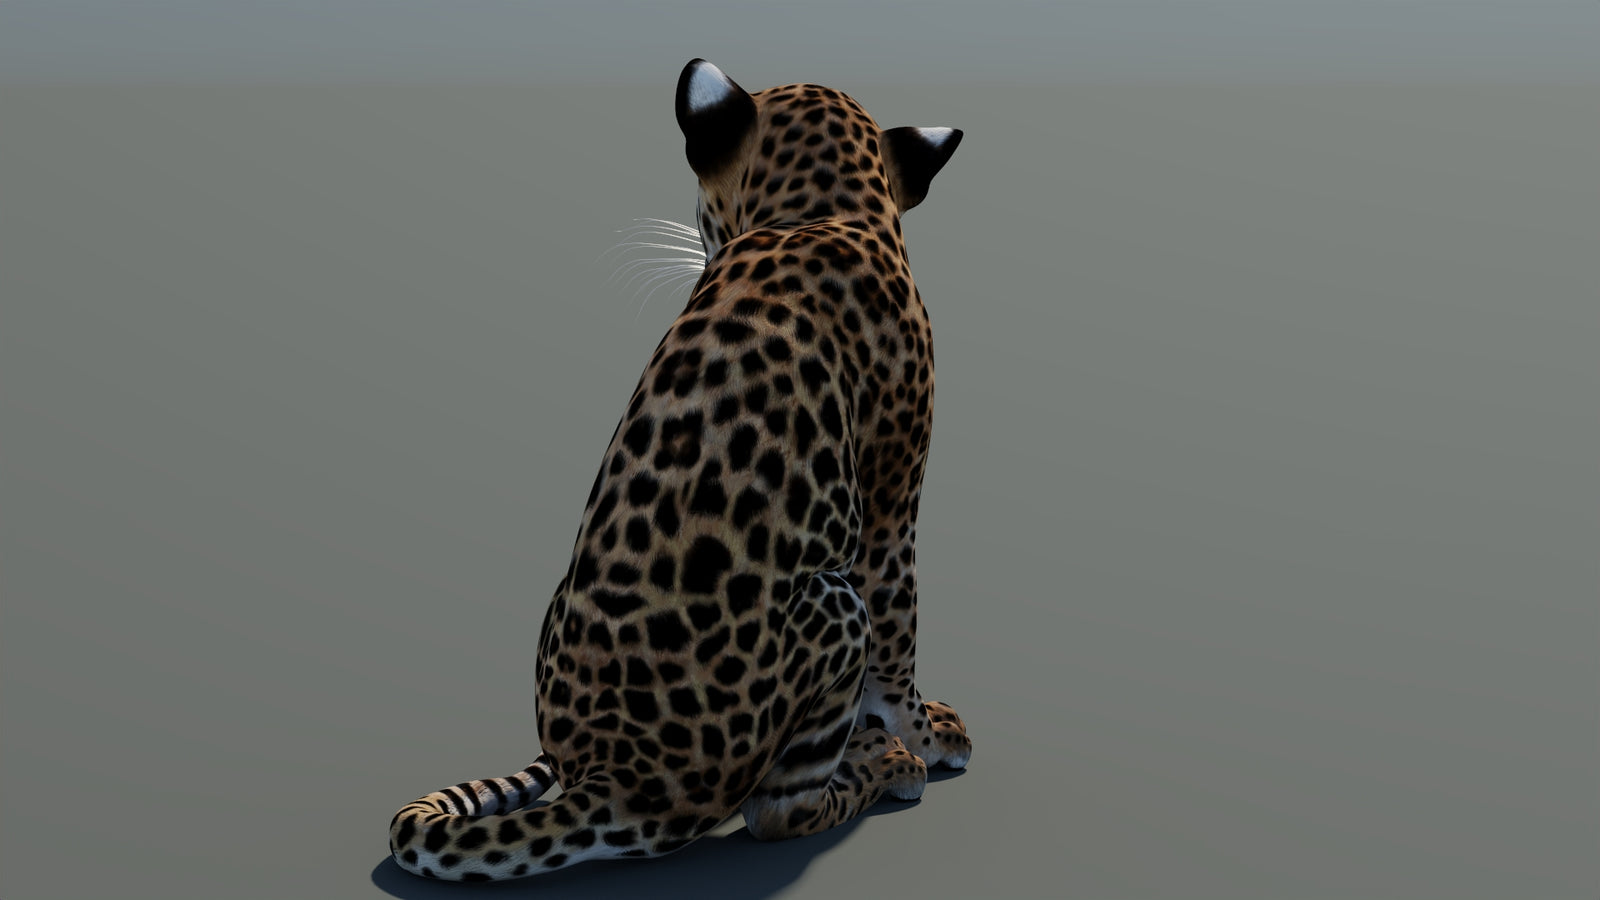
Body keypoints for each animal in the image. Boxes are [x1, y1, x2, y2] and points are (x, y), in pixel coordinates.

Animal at [388, 58, 970, 882]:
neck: (828, 209)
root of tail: (613, 778)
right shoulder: (890, 501)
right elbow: (898, 638)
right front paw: (926, 736)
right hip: (831, 604)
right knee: (776, 812)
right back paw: (879, 769)